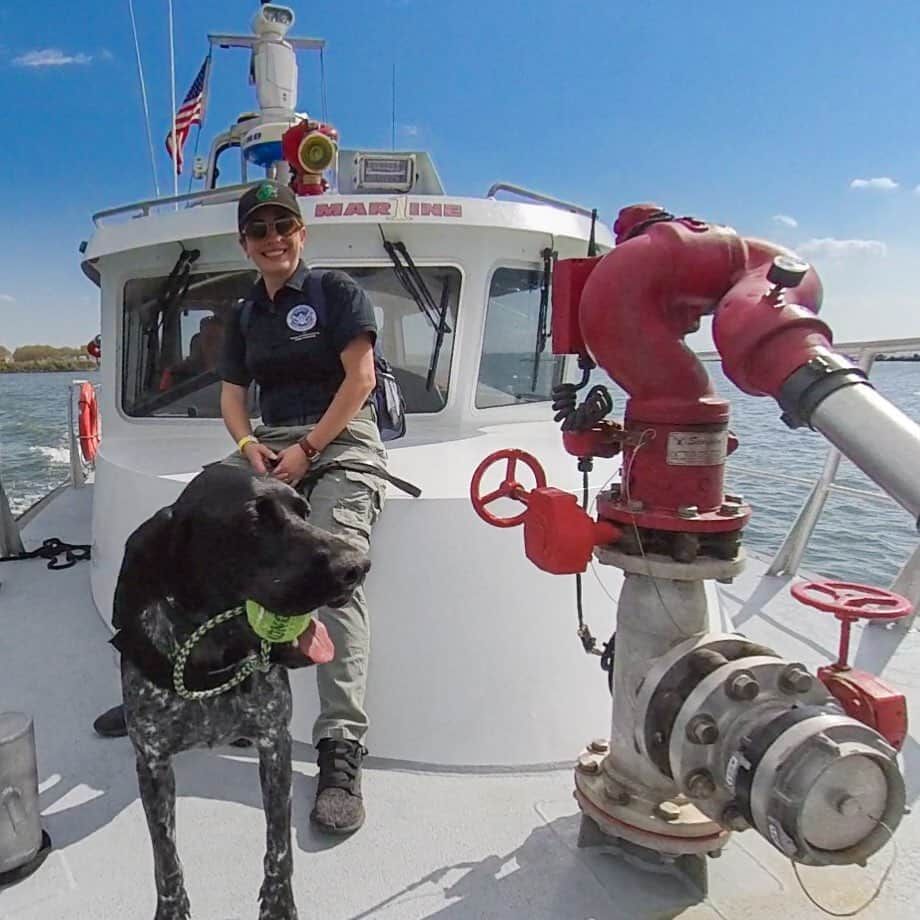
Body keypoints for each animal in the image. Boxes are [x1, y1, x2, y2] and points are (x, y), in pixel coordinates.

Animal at [113, 468, 372, 920]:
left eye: (305, 511)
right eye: (254, 521)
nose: (357, 567)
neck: (212, 660)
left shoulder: (275, 744)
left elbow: (279, 844)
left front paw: (280, 904)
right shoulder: (152, 762)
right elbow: (165, 856)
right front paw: (172, 909)